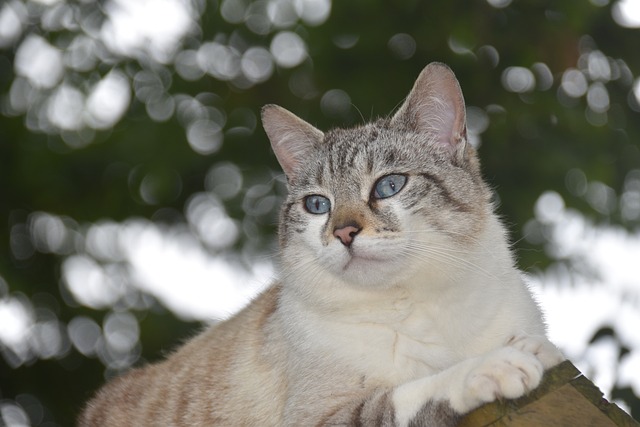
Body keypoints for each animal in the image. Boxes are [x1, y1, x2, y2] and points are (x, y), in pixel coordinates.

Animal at [81, 62, 564, 427]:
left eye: (389, 185)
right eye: (317, 205)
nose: (344, 233)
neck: (419, 304)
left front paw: (536, 351)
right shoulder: (319, 418)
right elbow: (406, 395)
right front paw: (498, 364)